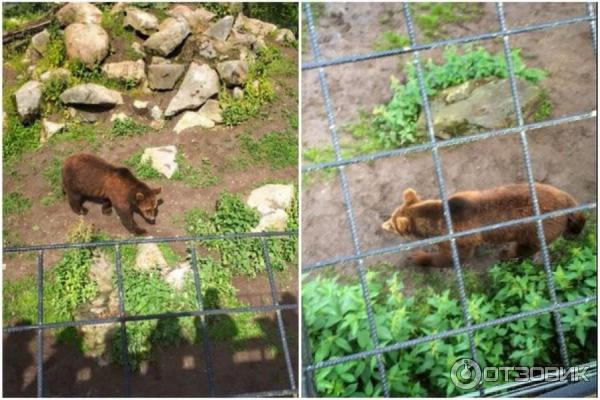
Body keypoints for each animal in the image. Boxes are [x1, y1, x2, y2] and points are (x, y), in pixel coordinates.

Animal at [382, 183, 584, 268]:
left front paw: (417, 256)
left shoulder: (460, 237)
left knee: (524, 248)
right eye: (392, 216)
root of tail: (566, 201)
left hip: (535, 229)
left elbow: (453, 258)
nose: (384, 224)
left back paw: (505, 254)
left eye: (392, 224)